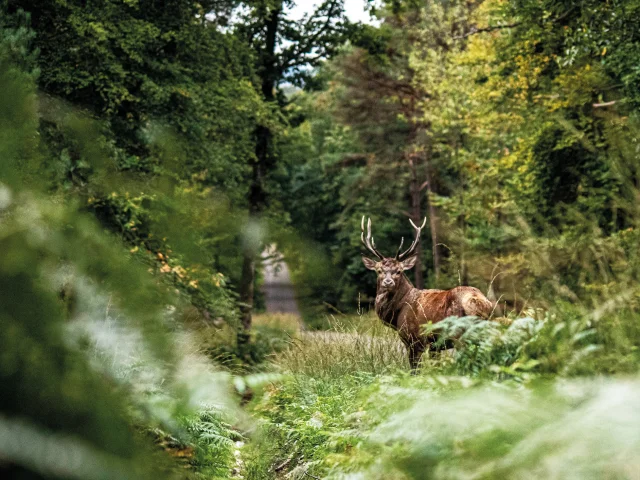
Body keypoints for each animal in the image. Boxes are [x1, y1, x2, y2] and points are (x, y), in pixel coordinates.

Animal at [360, 216, 493, 371]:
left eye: (399, 271)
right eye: (379, 270)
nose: (388, 282)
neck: (398, 311)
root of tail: (481, 303)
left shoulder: (413, 339)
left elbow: (415, 370)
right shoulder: (435, 345)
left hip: (460, 335)